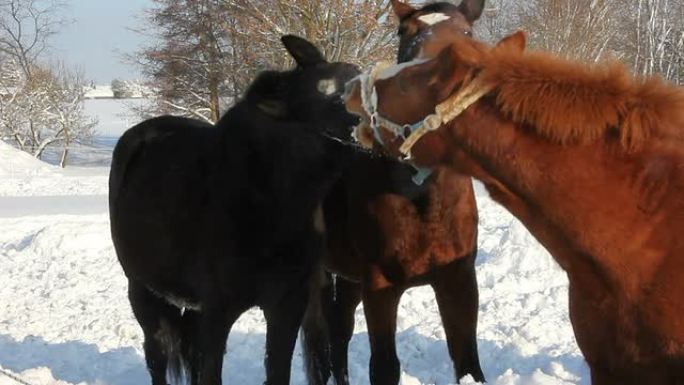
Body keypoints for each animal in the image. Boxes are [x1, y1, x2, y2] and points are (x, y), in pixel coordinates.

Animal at [108, 36, 358, 384]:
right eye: (327, 90)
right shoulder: (218, 309)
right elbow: (210, 372)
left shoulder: (287, 304)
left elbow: (276, 370)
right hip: (143, 291)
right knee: (157, 354)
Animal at [302, 0, 484, 384]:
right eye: (405, 35)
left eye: (467, 32)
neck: (421, 200)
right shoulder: (380, 286)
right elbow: (384, 366)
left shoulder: (459, 281)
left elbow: (468, 363)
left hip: (348, 276)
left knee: (339, 329)